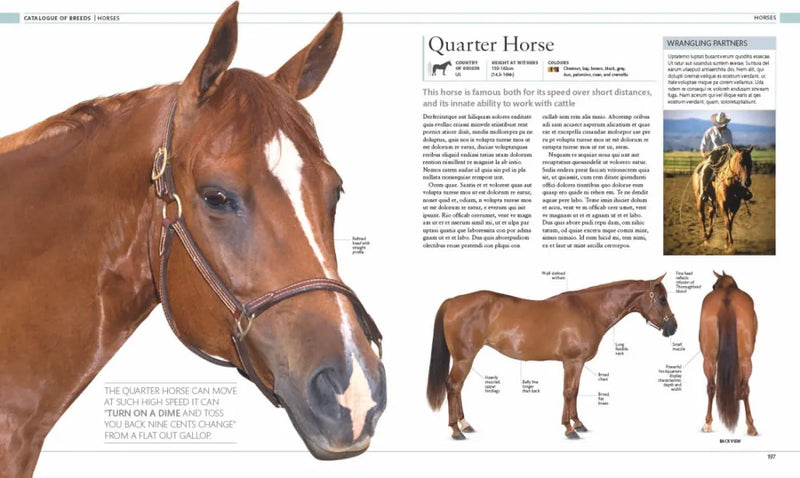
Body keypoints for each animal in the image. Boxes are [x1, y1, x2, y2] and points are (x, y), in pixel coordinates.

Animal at [427, 275, 677, 440]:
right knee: (453, 386)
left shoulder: (577, 364)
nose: (673, 327)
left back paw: (465, 425)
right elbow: (568, 392)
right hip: (464, 359)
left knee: (458, 388)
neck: (588, 311)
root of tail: (453, 301)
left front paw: (578, 424)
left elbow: (574, 392)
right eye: (661, 299)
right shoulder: (572, 362)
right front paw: (569, 429)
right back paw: (456, 430)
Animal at [699, 271, 758, 436]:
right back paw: (751, 426)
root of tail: (727, 299)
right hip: (745, 359)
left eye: (714, 285)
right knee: (745, 388)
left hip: (709, 359)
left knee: (711, 387)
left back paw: (707, 424)